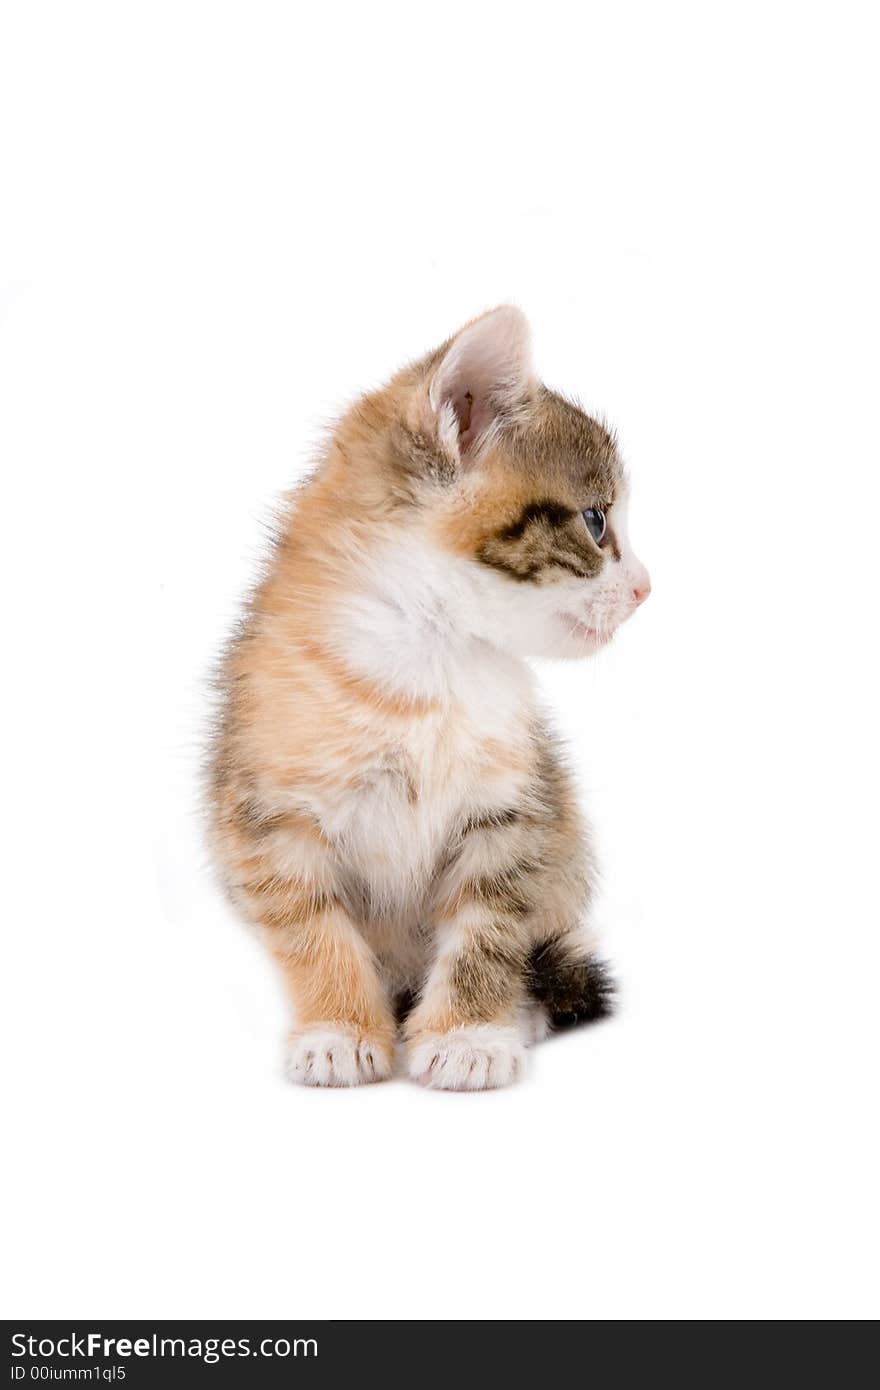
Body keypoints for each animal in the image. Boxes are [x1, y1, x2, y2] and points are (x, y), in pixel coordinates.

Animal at [205, 309, 645, 1089]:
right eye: (596, 522)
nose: (646, 587)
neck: (428, 664)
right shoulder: (267, 819)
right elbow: (312, 929)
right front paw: (340, 1029)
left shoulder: (516, 813)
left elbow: (488, 930)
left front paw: (469, 1035)